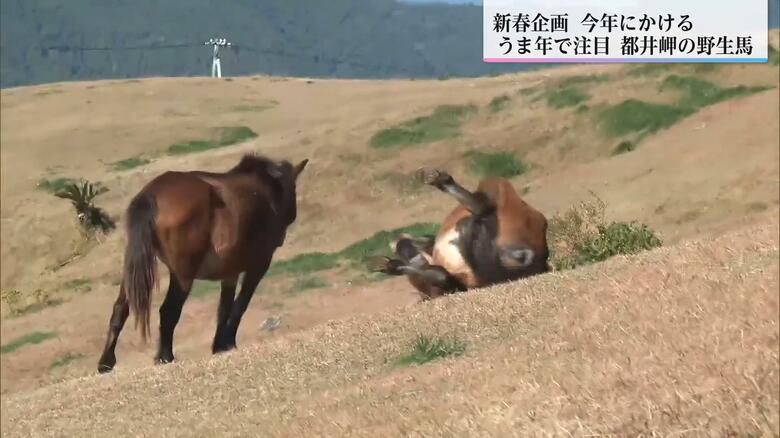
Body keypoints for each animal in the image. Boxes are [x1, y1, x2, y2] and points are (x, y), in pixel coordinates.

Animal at [97, 154, 309, 373]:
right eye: (293, 188)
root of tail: (151, 194)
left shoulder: (230, 271)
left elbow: (224, 307)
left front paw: (220, 345)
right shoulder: (258, 265)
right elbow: (240, 304)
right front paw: (227, 342)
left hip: (133, 269)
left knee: (120, 309)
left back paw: (106, 362)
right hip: (182, 276)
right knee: (168, 311)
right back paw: (165, 356)